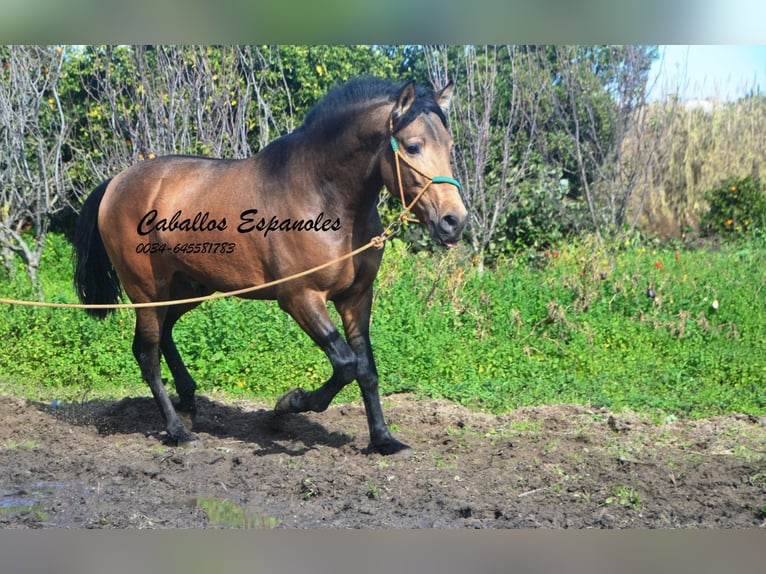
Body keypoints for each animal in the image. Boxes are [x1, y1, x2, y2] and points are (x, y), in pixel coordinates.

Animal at [73, 77, 467, 455]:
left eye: (450, 148)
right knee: (147, 354)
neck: (323, 196)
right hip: (146, 290)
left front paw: (384, 440)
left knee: (163, 337)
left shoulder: (356, 297)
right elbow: (346, 363)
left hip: (187, 287)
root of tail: (115, 183)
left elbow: (367, 369)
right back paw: (178, 431)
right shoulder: (300, 297)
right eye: (413, 146)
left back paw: (188, 402)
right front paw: (289, 403)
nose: (454, 221)